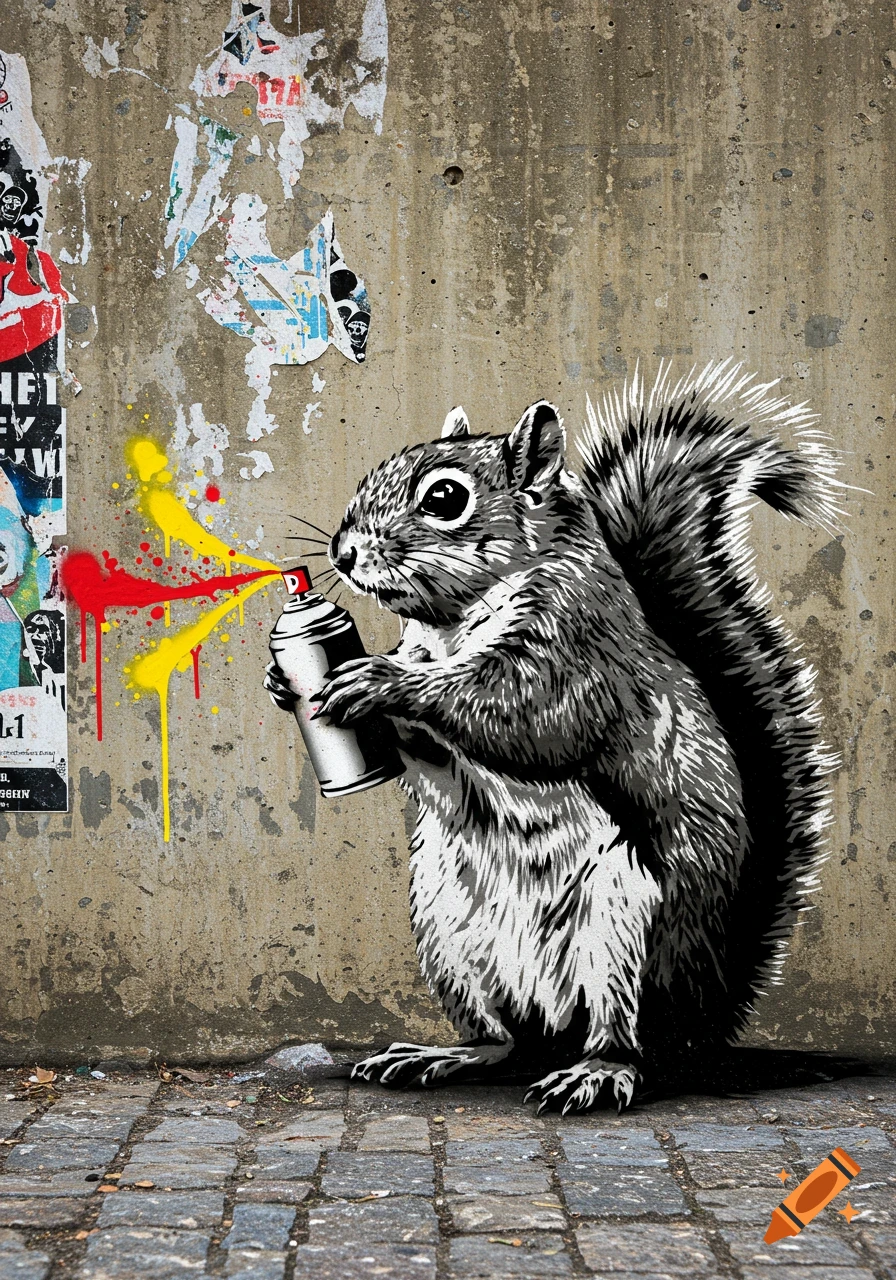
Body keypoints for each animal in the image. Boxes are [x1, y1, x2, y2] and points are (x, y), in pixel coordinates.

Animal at [265, 360, 843, 1112]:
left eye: (445, 497)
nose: (343, 553)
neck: (453, 625)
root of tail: (706, 1016)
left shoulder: (577, 663)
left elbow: (521, 719)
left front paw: (383, 680)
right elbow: (427, 751)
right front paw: (286, 685)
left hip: (622, 928)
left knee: (622, 1038)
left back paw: (598, 1071)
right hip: (448, 932)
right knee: (512, 1043)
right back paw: (447, 1055)